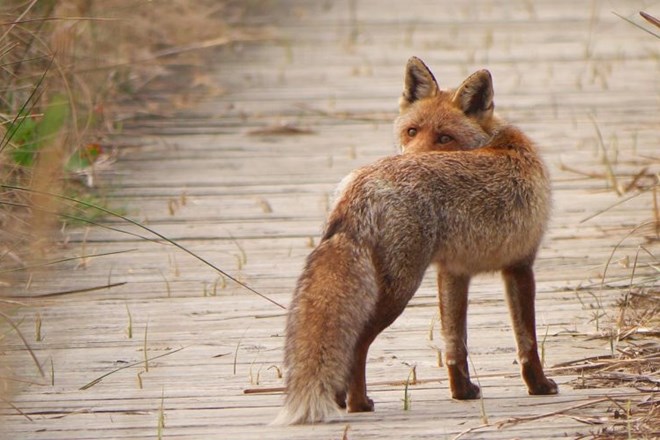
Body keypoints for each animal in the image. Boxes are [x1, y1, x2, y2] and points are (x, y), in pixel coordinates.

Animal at [274, 56, 556, 424]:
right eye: (412, 132)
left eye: (444, 137)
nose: (409, 155)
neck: (497, 140)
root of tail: (360, 186)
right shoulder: (520, 265)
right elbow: (528, 341)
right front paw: (540, 386)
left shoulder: (453, 272)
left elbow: (454, 343)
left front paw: (462, 392)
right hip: (400, 287)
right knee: (357, 344)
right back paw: (358, 403)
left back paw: (339, 399)